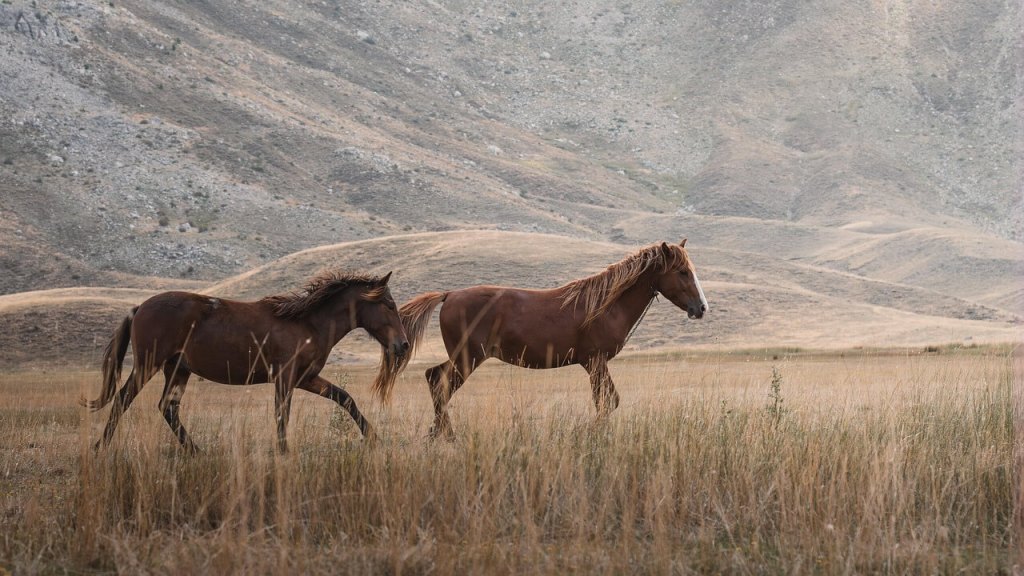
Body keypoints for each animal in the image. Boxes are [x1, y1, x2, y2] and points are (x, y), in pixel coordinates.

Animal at [82, 271, 410, 452]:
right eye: (389, 304)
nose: (403, 345)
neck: (307, 324)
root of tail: (139, 307)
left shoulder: (305, 378)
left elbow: (345, 398)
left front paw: (374, 438)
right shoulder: (285, 378)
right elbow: (282, 414)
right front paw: (283, 451)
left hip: (178, 369)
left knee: (168, 408)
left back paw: (196, 451)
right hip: (148, 364)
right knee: (124, 399)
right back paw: (100, 447)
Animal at [372, 240, 708, 439]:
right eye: (681, 271)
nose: (701, 308)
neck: (605, 304)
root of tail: (449, 295)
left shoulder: (594, 365)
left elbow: (607, 402)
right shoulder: (595, 362)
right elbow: (607, 402)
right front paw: (589, 432)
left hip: (464, 357)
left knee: (434, 379)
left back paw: (439, 433)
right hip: (468, 358)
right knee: (438, 382)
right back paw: (447, 436)